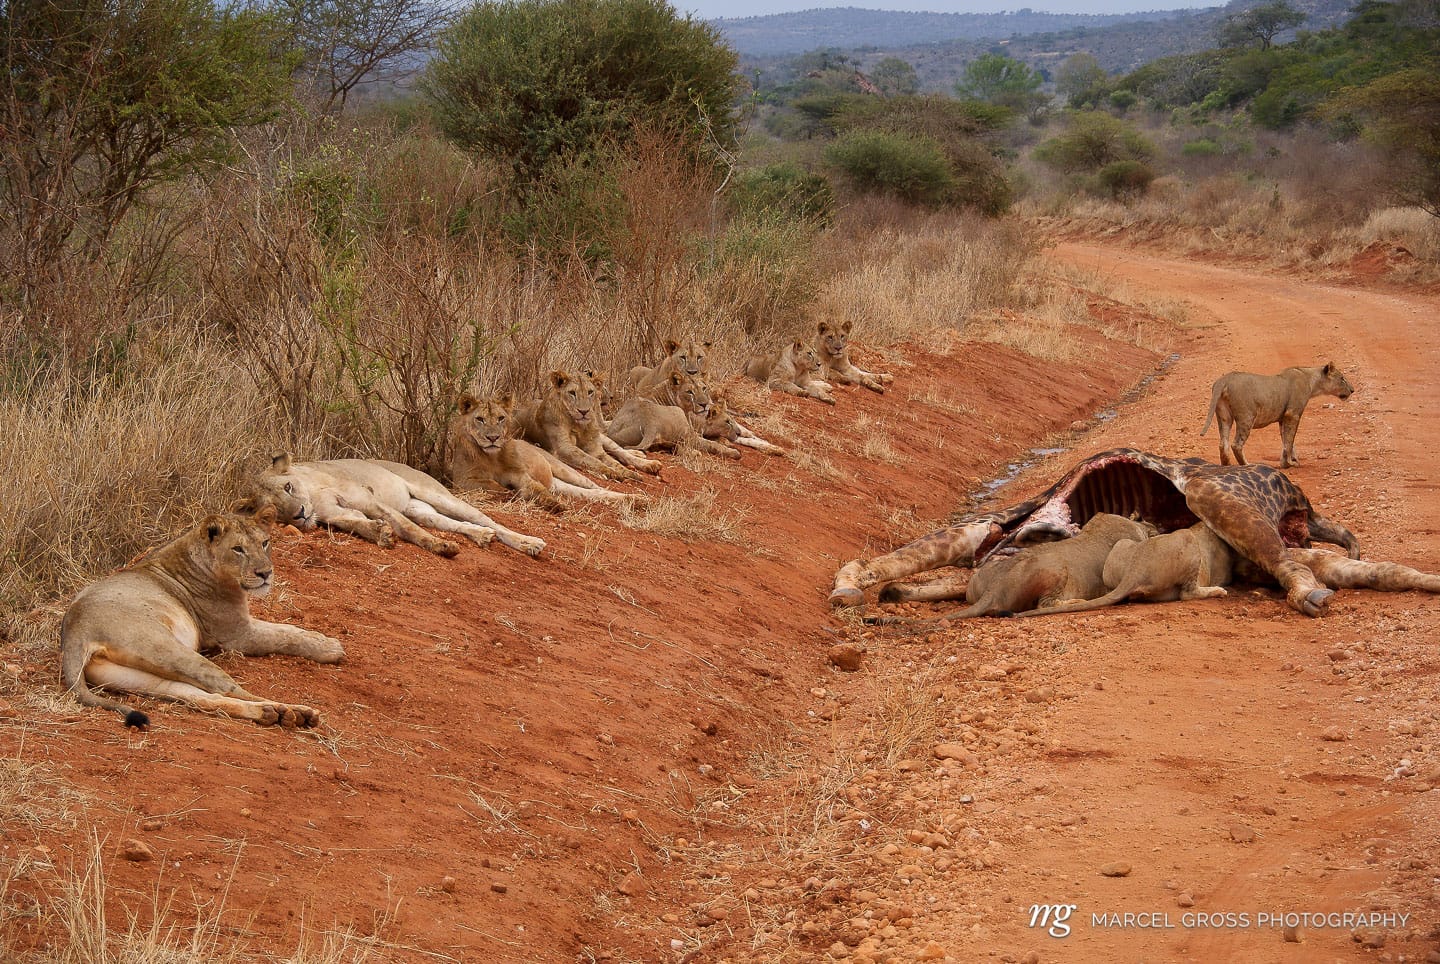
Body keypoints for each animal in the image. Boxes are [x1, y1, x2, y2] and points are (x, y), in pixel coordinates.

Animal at [60, 505, 343, 730]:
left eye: (264, 543)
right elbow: (282, 636)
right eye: (238, 549)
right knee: (229, 688)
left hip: (135, 676)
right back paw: (292, 712)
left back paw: (272, 713)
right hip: (167, 649)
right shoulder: (235, 635)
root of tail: (75, 631)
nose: (265, 573)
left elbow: (289, 628)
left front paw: (321, 638)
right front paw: (331, 649)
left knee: (201, 697)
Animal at [255, 455, 545, 558]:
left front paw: (441, 547)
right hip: (419, 509)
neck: (313, 495)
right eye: (276, 511)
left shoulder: (372, 501)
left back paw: (529, 543)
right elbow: (357, 524)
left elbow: (409, 530)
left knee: (488, 520)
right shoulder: (338, 515)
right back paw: (482, 536)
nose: (299, 514)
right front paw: (381, 533)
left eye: (288, 487)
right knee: (454, 523)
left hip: (437, 494)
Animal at [449, 393, 634, 509]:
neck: (492, 457)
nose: (493, 438)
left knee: (596, 487)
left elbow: (536, 488)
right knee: (589, 493)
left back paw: (635, 498)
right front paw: (510, 492)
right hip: (561, 485)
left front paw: (555, 505)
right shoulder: (463, 480)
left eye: (501, 418)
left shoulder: (521, 475)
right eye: (480, 419)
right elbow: (493, 486)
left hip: (565, 470)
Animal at [517, 370, 660, 482]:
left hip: (603, 438)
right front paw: (613, 473)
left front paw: (629, 473)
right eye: (572, 393)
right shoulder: (564, 447)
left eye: (590, 392)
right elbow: (591, 460)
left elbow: (613, 462)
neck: (579, 426)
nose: (584, 411)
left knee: (619, 451)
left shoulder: (595, 449)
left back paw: (648, 462)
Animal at [1201, 362, 1354, 467]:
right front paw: (1290, 463)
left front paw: (1288, 461)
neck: (1311, 380)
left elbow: (1286, 440)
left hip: (1224, 416)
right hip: (1246, 417)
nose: (1352, 390)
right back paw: (1247, 465)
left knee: (1223, 444)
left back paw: (1226, 466)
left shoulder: (1283, 418)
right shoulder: (1293, 414)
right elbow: (1290, 440)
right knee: (1236, 445)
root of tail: (1224, 379)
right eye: (1342, 378)